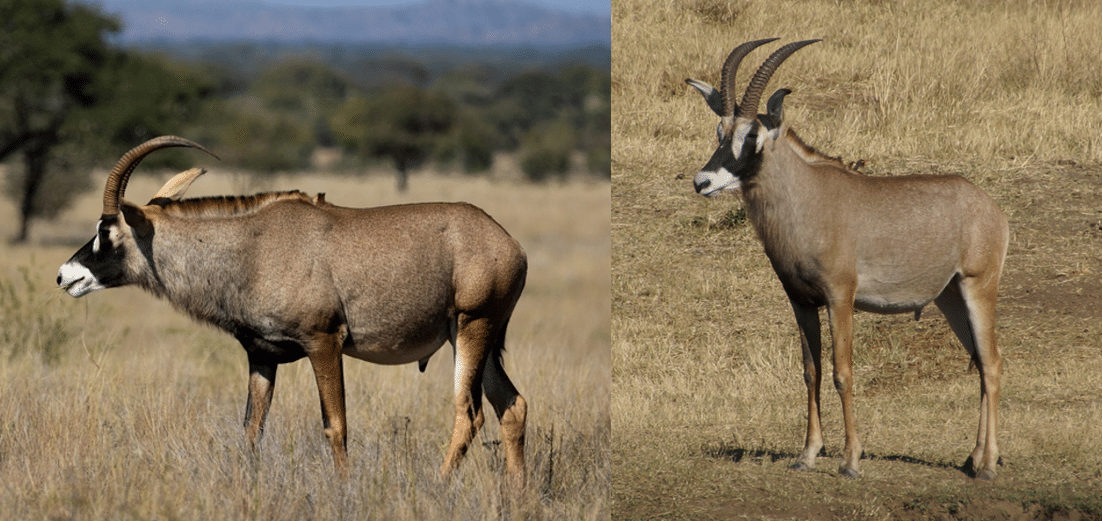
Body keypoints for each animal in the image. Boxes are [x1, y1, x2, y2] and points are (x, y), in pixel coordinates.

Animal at [57, 136, 529, 486]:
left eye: (106, 231)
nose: (65, 275)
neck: (252, 247)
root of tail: (510, 245)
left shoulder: (323, 342)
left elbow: (335, 424)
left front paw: (343, 489)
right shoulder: (262, 356)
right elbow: (252, 428)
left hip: (472, 327)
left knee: (469, 414)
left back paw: (439, 484)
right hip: (478, 340)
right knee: (512, 406)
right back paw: (517, 494)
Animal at [686, 40, 1009, 479]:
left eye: (752, 133)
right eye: (719, 131)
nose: (703, 182)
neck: (810, 196)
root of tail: (990, 208)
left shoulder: (840, 297)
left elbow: (842, 372)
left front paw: (851, 460)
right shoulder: (801, 302)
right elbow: (811, 372)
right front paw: (807, 454)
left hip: (979, 287)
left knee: (991, 364)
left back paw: (989, 464)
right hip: (952, 298)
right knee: (977, 360)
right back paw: (973, 458)